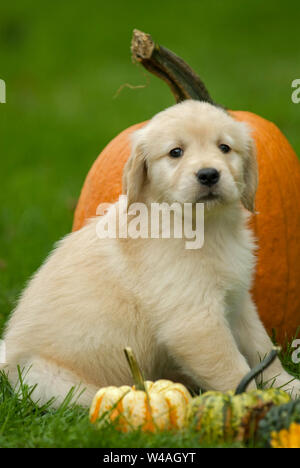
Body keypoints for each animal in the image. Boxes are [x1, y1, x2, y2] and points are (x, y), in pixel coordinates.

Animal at [2, 101, 300, 406]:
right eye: (175, 152)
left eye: (224, 147)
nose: (208, 174)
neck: (205, 225)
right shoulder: (194, 319)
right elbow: (231, 369)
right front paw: (251, 405)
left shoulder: (238, 302)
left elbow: (261, 347)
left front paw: (288, 387)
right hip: (49, 379)